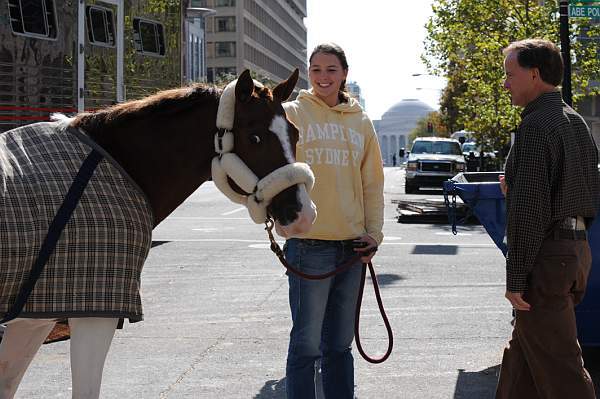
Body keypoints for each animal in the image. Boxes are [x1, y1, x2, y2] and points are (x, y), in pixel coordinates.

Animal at [0, 69, 316, 399]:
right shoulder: (93, 313)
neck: (117, 164)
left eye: (294, 134)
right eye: (255, 138)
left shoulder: (35, 316)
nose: (302, 213)